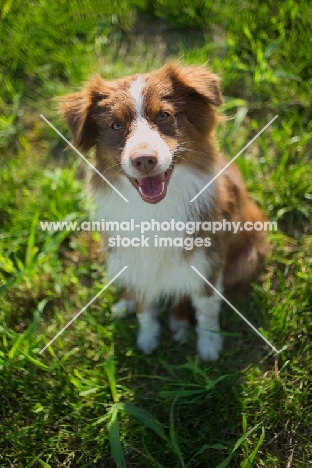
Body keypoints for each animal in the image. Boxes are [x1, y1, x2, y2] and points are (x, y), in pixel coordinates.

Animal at [59, 64, 270, 360]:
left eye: (164, 115)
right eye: (115, 125)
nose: (144, 160)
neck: (156, 210)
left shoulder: (208, 259)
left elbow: (206, 309)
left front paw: (209, 345)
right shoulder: (137, 259)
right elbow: (144, 308)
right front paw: (147, 337)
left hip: (247, 258)